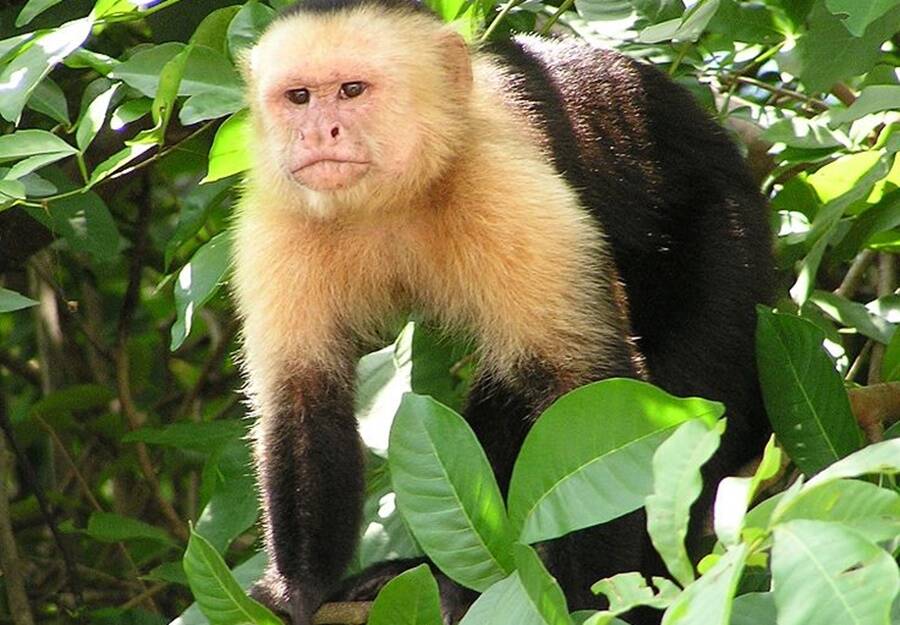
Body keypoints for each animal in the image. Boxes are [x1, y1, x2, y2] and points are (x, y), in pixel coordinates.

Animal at [230, 0, 773, 623]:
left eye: (351, 90)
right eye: (298, 97)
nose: (318, 131)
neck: (392, 200)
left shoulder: (505, 188)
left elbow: (587, 392)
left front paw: (585, 603)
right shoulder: (280, 216)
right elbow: (302, 397)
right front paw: (298, 590)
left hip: (727, 241)